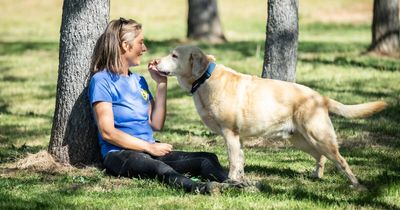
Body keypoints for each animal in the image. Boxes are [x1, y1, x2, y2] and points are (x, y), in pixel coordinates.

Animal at [153, 44, 388, 189]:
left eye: (174, 56)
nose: (154, 62)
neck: (205, 80)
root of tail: (320, 97)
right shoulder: (237, 138)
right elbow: (240, 160)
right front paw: (240, 181)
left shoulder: (230, 133)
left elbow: (233, 161)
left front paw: (231, 181)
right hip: (301, 139)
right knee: (320, 157)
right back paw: (317, 176)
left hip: (319, 136)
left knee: (341, 160)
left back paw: (356, 185)